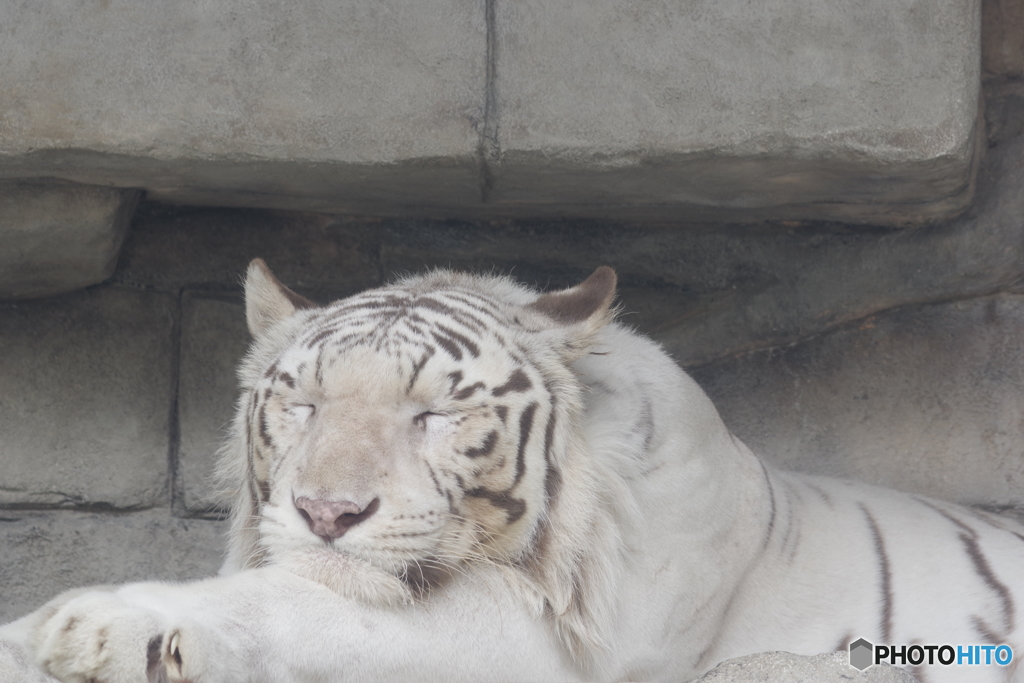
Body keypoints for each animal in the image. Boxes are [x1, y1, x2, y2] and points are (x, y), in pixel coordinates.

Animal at [2, 259, 1024, 679]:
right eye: (305, 405)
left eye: (435, 415)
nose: (327, 511)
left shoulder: (568, 644)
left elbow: (311, 604)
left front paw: (90, 623)